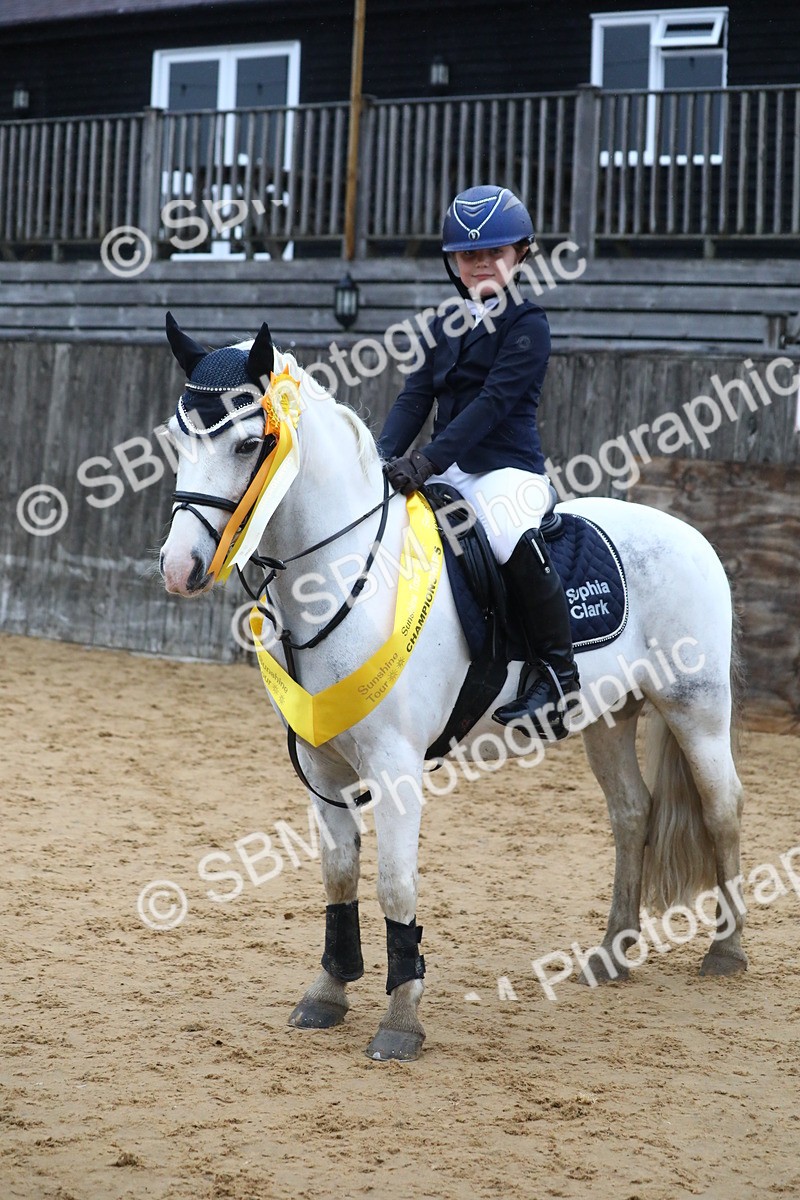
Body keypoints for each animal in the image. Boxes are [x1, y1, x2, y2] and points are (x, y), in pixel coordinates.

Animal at [158, 316, 746, 1061]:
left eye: (246, 443)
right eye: (179, 441)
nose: (179, 568)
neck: (343, 575)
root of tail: (691, 534)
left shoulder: (397, 763)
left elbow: (395, 883)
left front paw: (401, 1019)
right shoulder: (321, 762)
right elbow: (339, 874)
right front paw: (327, 992)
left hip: (696, 707)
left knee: (722, 807)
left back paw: (727, 951)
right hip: (607, 717)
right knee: (632, 814)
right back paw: (613, 954)